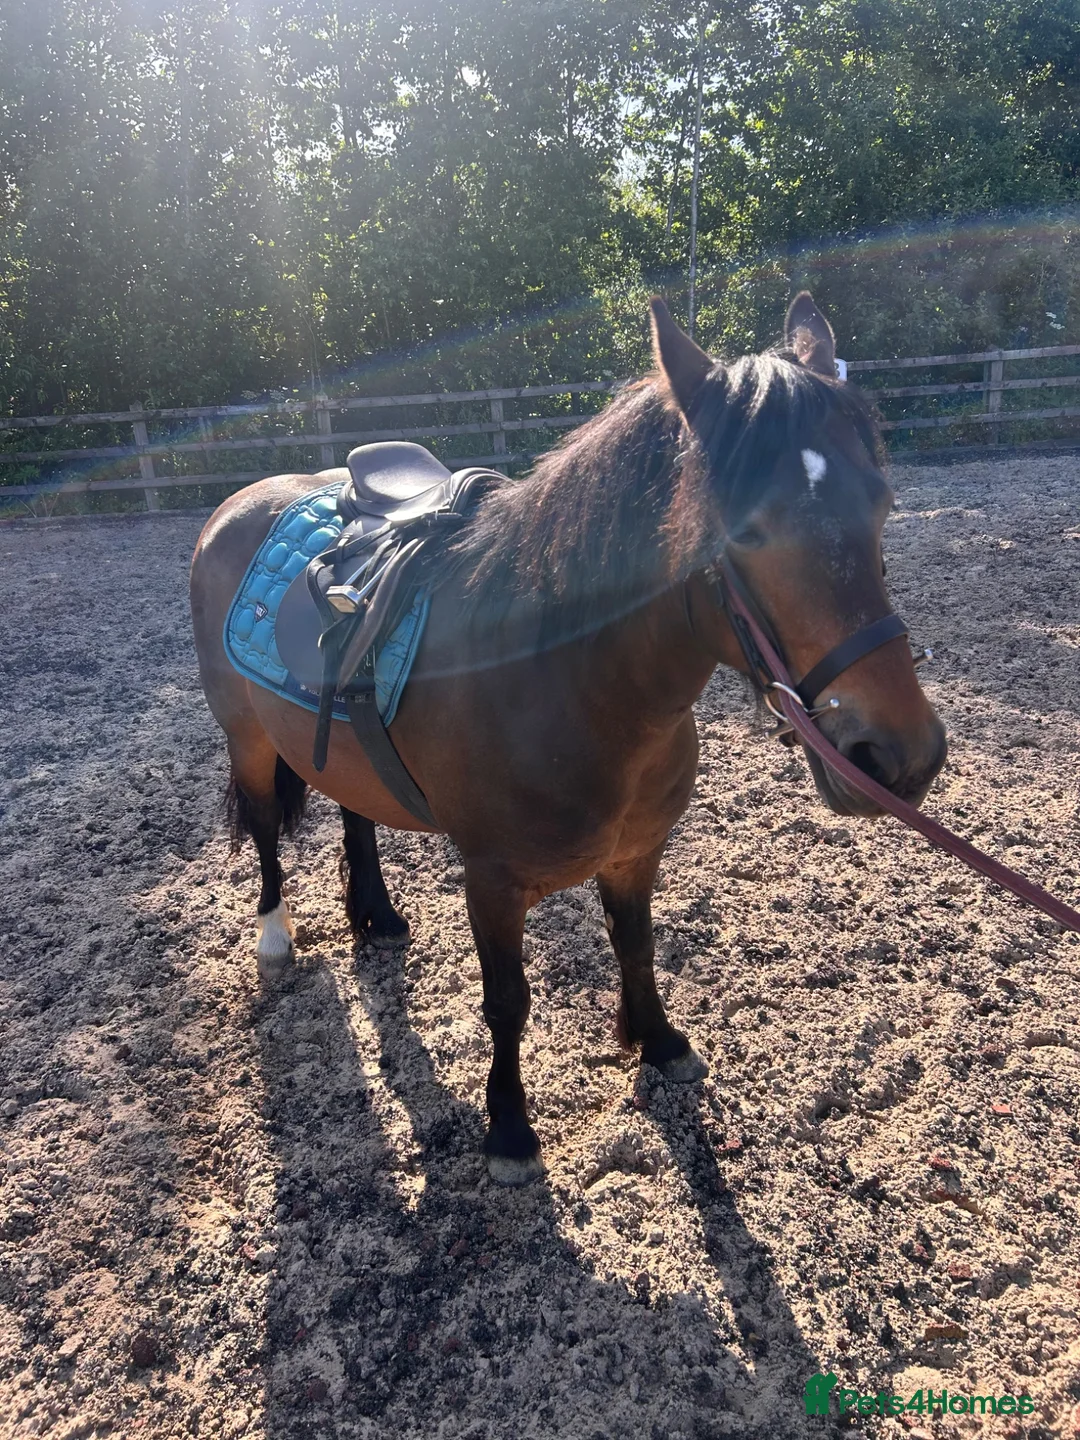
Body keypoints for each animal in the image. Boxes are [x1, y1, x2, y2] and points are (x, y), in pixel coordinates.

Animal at [190, 293, 946, 1184]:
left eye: (882, 504)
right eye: (746, 532)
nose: (901, 756)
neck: (567, 684)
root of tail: (241, 501)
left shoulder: (636, 851)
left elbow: (637, 945)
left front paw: (657, 1041)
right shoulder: (490, 880)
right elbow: (508, 1000)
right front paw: (511, 1128)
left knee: (354, 809)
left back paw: (376, 913)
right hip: (245, 737)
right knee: (266, 826)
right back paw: (276, 935)